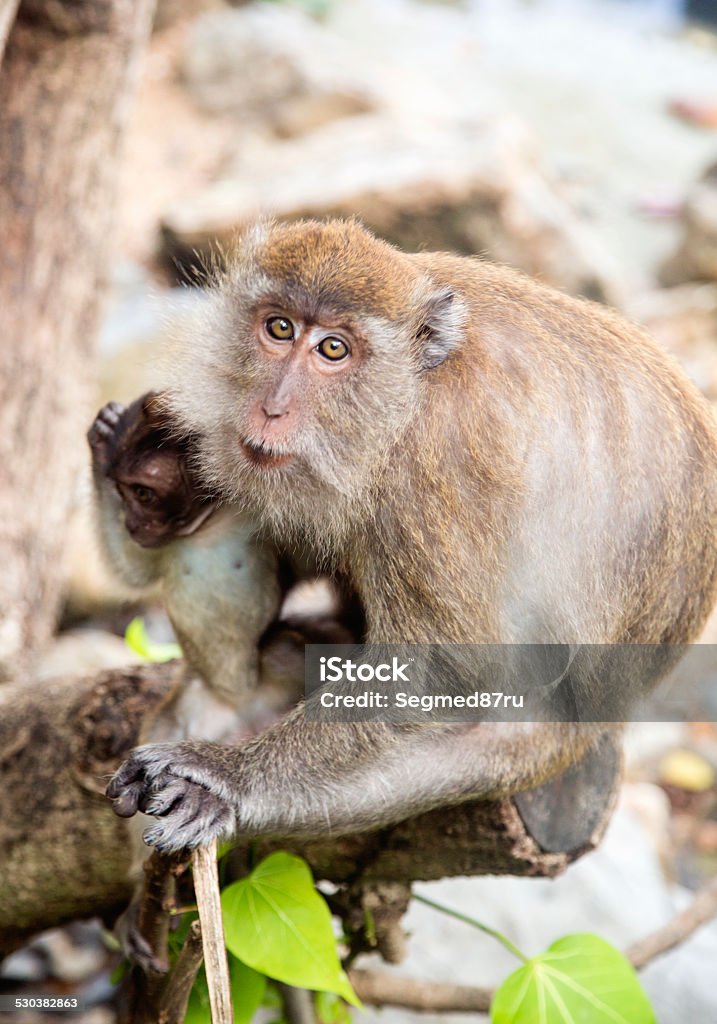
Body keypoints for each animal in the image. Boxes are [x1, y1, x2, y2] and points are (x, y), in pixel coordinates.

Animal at [106, 220, 717, 851]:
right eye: (280, 328)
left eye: (334, 349)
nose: (272, 408)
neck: (408, 395)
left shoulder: (440, 456)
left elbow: (441, 668)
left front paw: (227, 777)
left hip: (537, 736)